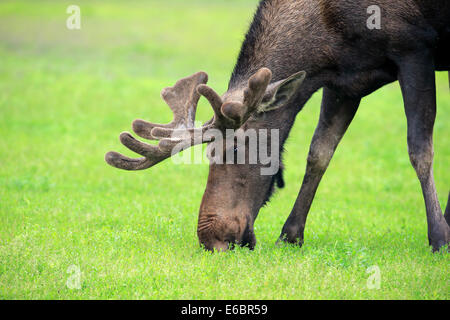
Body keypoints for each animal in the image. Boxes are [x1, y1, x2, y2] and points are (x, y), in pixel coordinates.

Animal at [106, 0, 450, 252]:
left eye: (234, 148)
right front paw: (291, 234)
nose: (209, 238)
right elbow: (319, 153)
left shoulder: (414, 48)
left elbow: (420, 150)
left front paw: (438, 238)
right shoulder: (346, 80)